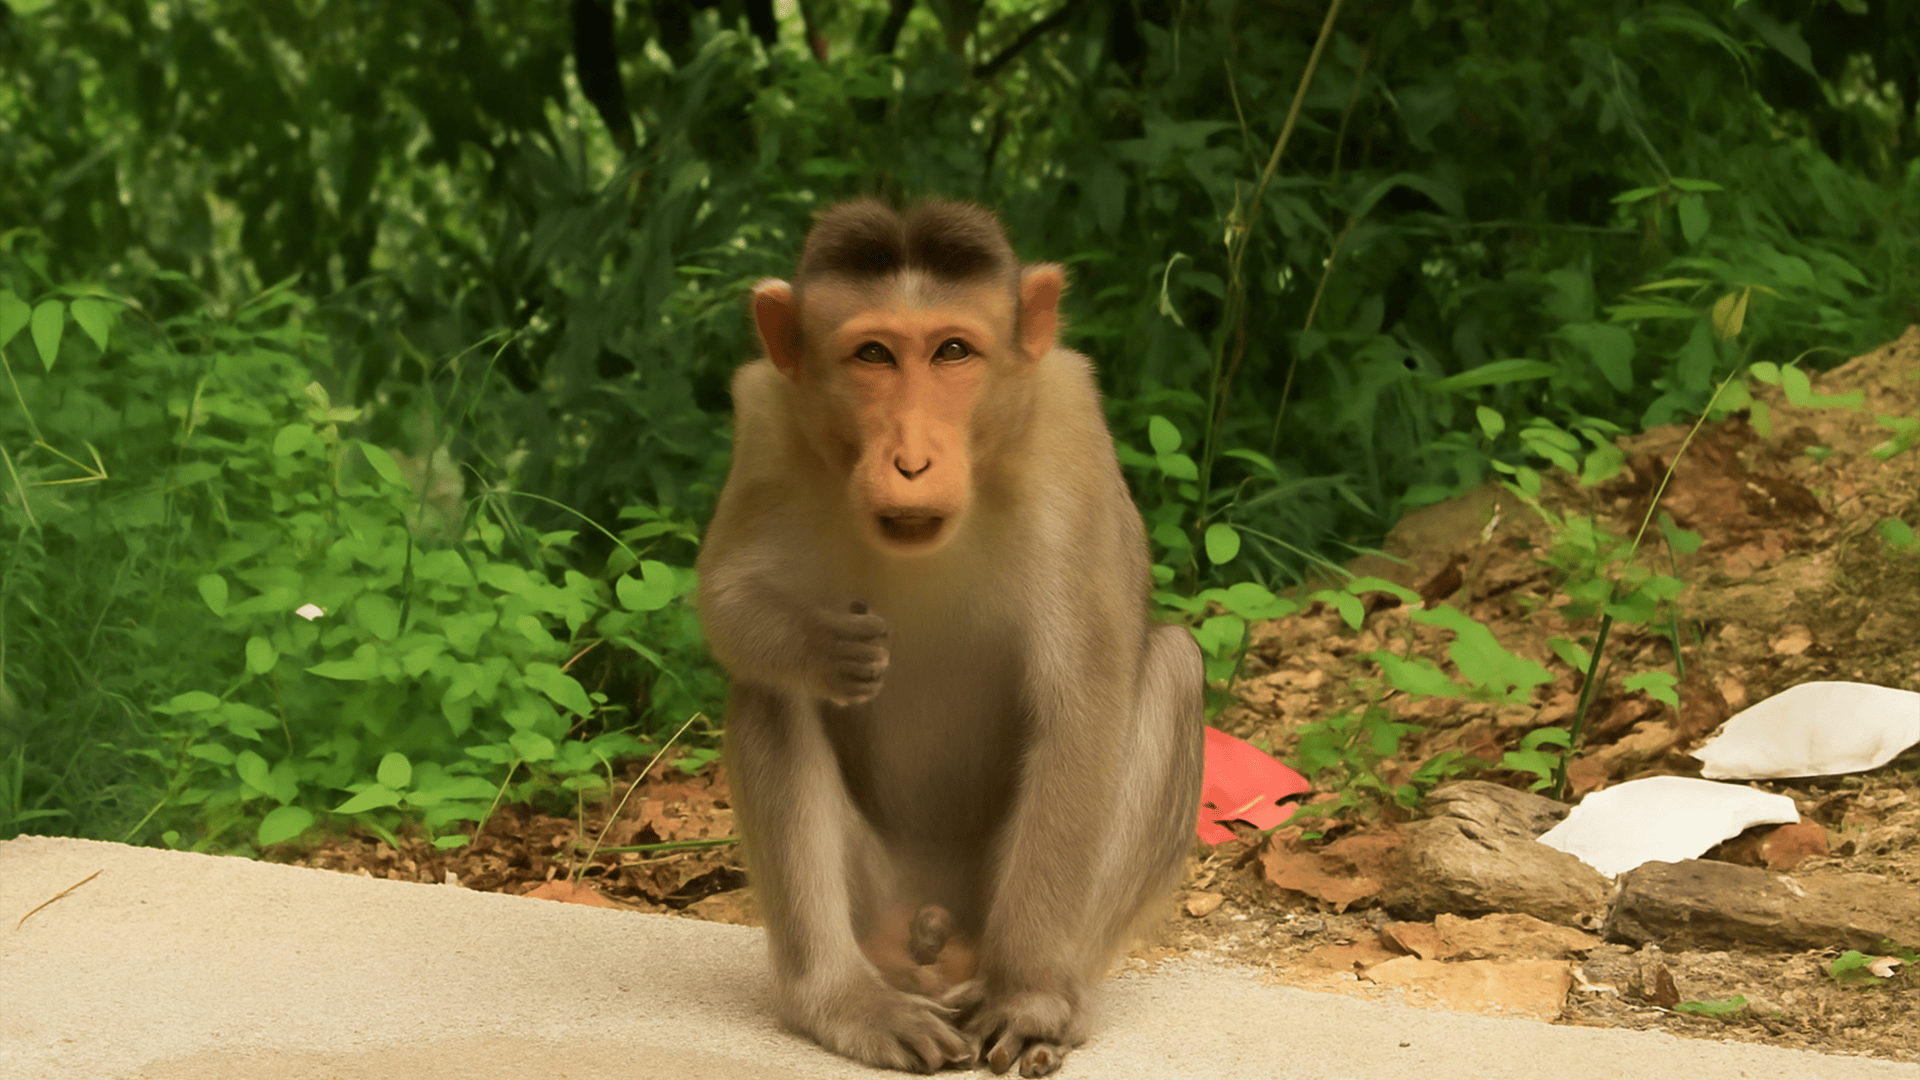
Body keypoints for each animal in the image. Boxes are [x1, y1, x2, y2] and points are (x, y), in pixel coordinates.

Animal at [696, 199, 1205, 1077]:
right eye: (873, 354)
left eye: (953, 352)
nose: (910, 461)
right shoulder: (767, 418)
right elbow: (727, 595)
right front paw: (819, 645)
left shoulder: (1068, 436)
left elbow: (1081, 705)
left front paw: (1028, 997)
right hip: (877, 900)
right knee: (770, 692)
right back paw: (839, 998)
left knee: (1173, 668)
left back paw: (1036, 988)